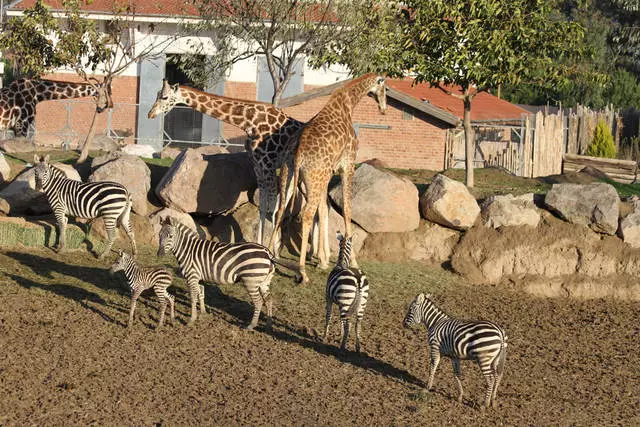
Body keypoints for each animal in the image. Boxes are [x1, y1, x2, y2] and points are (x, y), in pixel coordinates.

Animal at [148, 80, 304, 247]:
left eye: (164, 97)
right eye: (157, 94)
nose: (150, 114)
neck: (249, 121)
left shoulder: (269, 163)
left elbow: (272, 207)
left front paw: (270, 248)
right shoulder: (258, 165)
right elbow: (262, 206)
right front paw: (261, 244)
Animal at [159, 217, 302, 332]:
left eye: (170, 236)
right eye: (159, 235)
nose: (159, 253)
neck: (188, 250)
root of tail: (268, 253)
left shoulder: (191, 276)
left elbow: (193, 297)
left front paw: (191, 319)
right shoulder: (198, 278)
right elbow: (201, 293)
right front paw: (203, 313)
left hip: (251, 281)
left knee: (258, 302)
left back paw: (251, 325)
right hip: (264, 282)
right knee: (269, 300)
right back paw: (268, 325)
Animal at [268, 73, 384, 284]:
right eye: (384, 87)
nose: (383, 107)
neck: (347, 104)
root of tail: (298, 153)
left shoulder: (328, 173)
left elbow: (324, 209)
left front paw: (322, 260)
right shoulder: (347, 165)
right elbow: (346, 208)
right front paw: (352, 262)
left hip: (290, 175)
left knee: (280, 211)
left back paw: (270, 257)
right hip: (314, 177)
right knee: (306, 214)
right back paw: (302, 271)